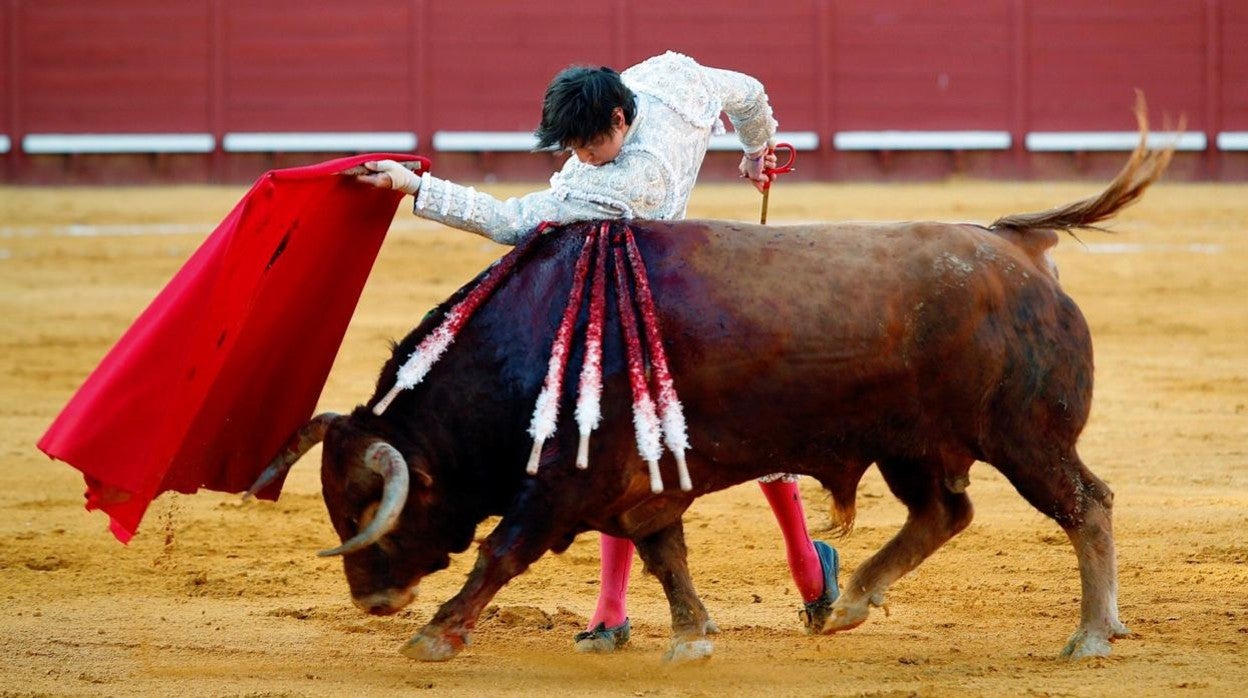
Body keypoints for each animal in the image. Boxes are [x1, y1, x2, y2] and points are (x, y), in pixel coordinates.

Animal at [255, 110, 1178, 664]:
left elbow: (502, 550)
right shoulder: (633, 481)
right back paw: (850, 601)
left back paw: (1091, 634)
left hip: (1025, 436)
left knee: (1084, 504)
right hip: (913, 444)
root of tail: (1017, 246)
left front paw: (435, 636)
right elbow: (662, 552)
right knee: (945, 514)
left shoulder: (562, 482)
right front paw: (691, 637)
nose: (372, 599)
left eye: (365, 506)